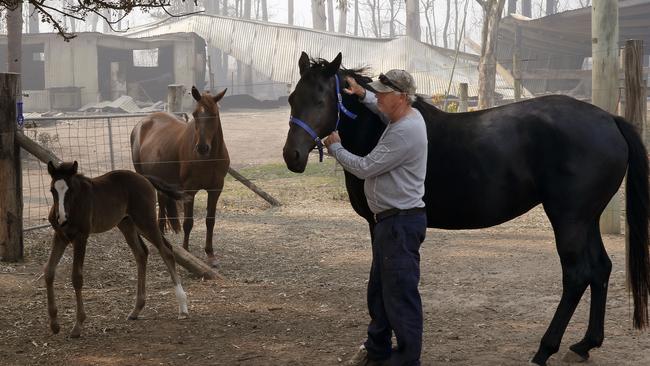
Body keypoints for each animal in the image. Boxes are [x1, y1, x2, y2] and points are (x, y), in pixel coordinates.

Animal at [44, 162, 187, 338]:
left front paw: (78, 325)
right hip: (127, 224)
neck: (75, 204)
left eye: (70, 190)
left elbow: (76, 277)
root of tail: (143, 177)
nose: (62, 218)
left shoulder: (81, 237)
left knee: (166, 251)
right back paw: (136, 310)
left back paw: (183, 308)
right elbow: (49, 271)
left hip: (145, 221)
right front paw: (54, 324)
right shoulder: (60, 237)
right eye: (52, 190)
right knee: (141, 253)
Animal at [129, 87, 228, 268]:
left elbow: (210, 221)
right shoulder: (190, 189)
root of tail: (142, 123)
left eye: (214, 114)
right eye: (195, 114)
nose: (202, 148)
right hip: (142, 177)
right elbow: (188, 222)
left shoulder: (216, 189)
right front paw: (187, 250)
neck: (208, 159)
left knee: (161, 202)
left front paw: (210, 255)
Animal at [284, 51, 648, 366]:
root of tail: (609, 118)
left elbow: (381, 281)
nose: (292, 156)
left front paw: (377, 347)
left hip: (568, 219)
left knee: (577, 275)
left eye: (321, 101)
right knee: (600, 269)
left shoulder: (379, 222)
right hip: (587, 219)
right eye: (291, 100)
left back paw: (545, 349)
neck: (382, 129)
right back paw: (585, 344)